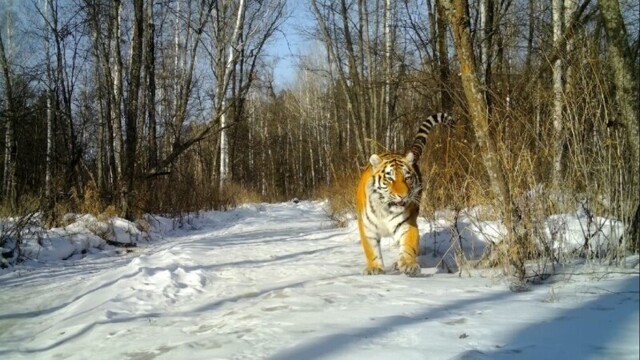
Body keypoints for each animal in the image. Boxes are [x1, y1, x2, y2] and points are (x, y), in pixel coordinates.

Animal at [356, 114, 456, 278]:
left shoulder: (406, 224)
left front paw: (409, 265)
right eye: (390, 178)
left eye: (407, 178)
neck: (385, 209)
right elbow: (371, 250)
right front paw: (374, 268)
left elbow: (409, 246)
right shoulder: (367, 227)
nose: (403, 196)